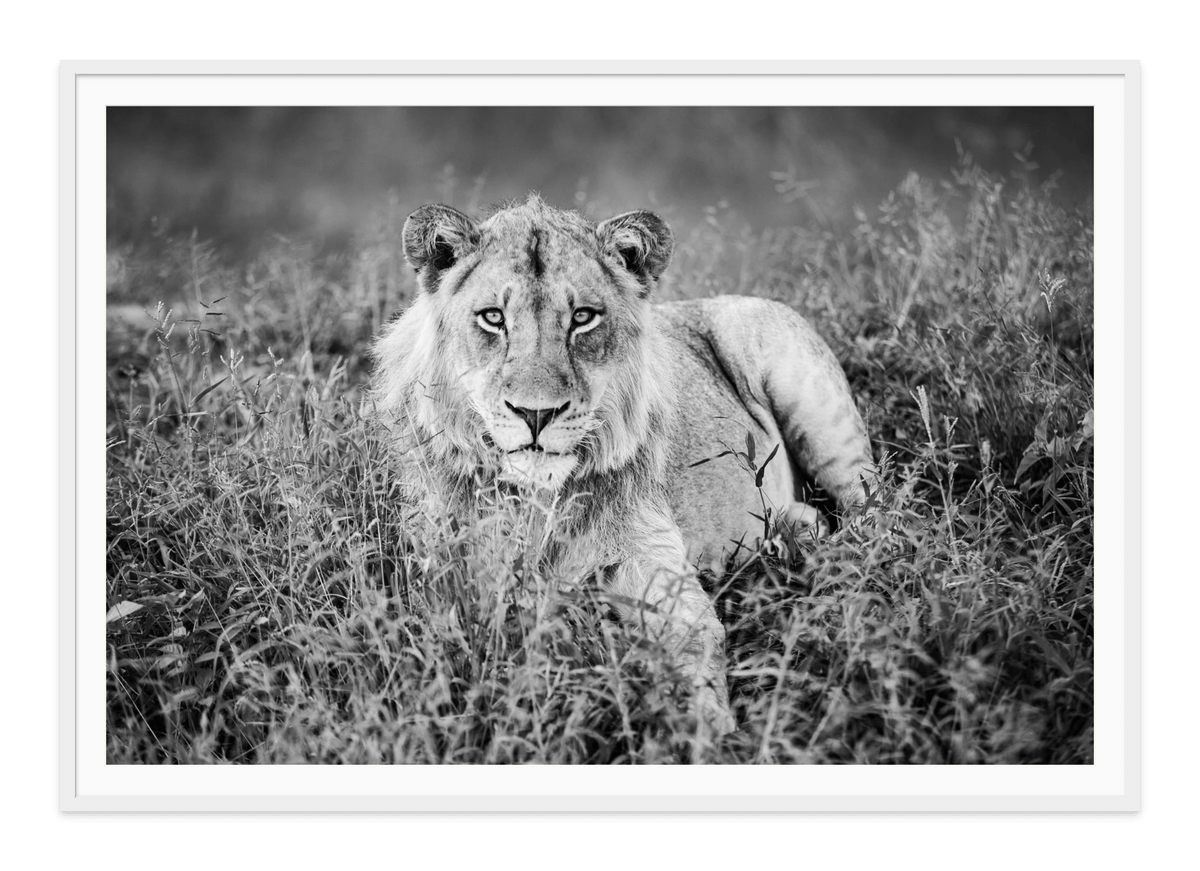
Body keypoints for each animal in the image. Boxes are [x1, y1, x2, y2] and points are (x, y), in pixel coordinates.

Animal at [371, 194, 875, 738]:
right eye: (492, 318)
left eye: (583, 318)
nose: (536, 413)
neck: (540, 502)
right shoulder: (442, 568)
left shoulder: (649, 552)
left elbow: (695, 636)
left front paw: (707, 731)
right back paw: (790, 535)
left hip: (816, 405)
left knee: (876, 516)